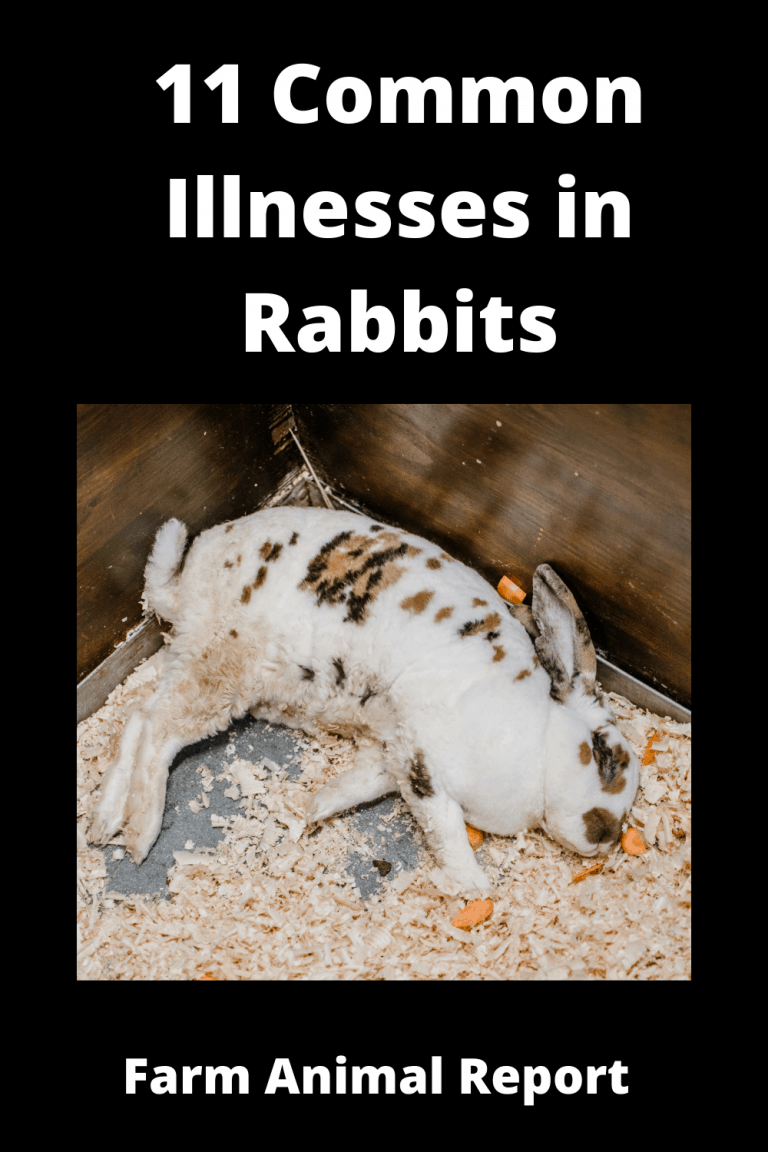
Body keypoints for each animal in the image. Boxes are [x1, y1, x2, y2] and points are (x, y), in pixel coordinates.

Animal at [89, 506, 639, 898]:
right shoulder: (421, 764)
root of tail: (186, 586)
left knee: (138, 717)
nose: (604, 835)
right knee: (158, 732)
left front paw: (311, 809)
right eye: (604, 756)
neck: (538, 740)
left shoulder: (390, 754)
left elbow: (355, 786)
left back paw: (102, 824)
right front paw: (475, 888)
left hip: (199, 665)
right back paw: (139, 834)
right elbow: (446, 830)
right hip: (223, 672)